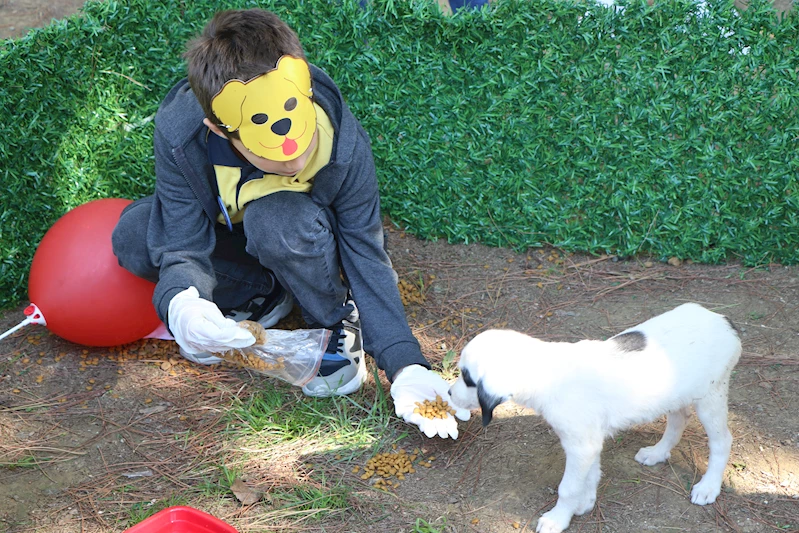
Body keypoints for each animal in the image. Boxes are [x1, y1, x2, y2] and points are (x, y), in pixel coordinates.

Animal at [450, 304, 744, 532]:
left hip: (710, 398)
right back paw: (658, 452)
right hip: (677, 394)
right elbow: (590, 474)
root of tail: (723, 320)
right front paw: (585, 502)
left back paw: (708, 486)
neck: (547, 373)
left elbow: (568, 487)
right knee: (678, 420)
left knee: (722, 442)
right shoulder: (588, 442)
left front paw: (558, 519)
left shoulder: (581, 445)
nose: (450, 394)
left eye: (467, 378)